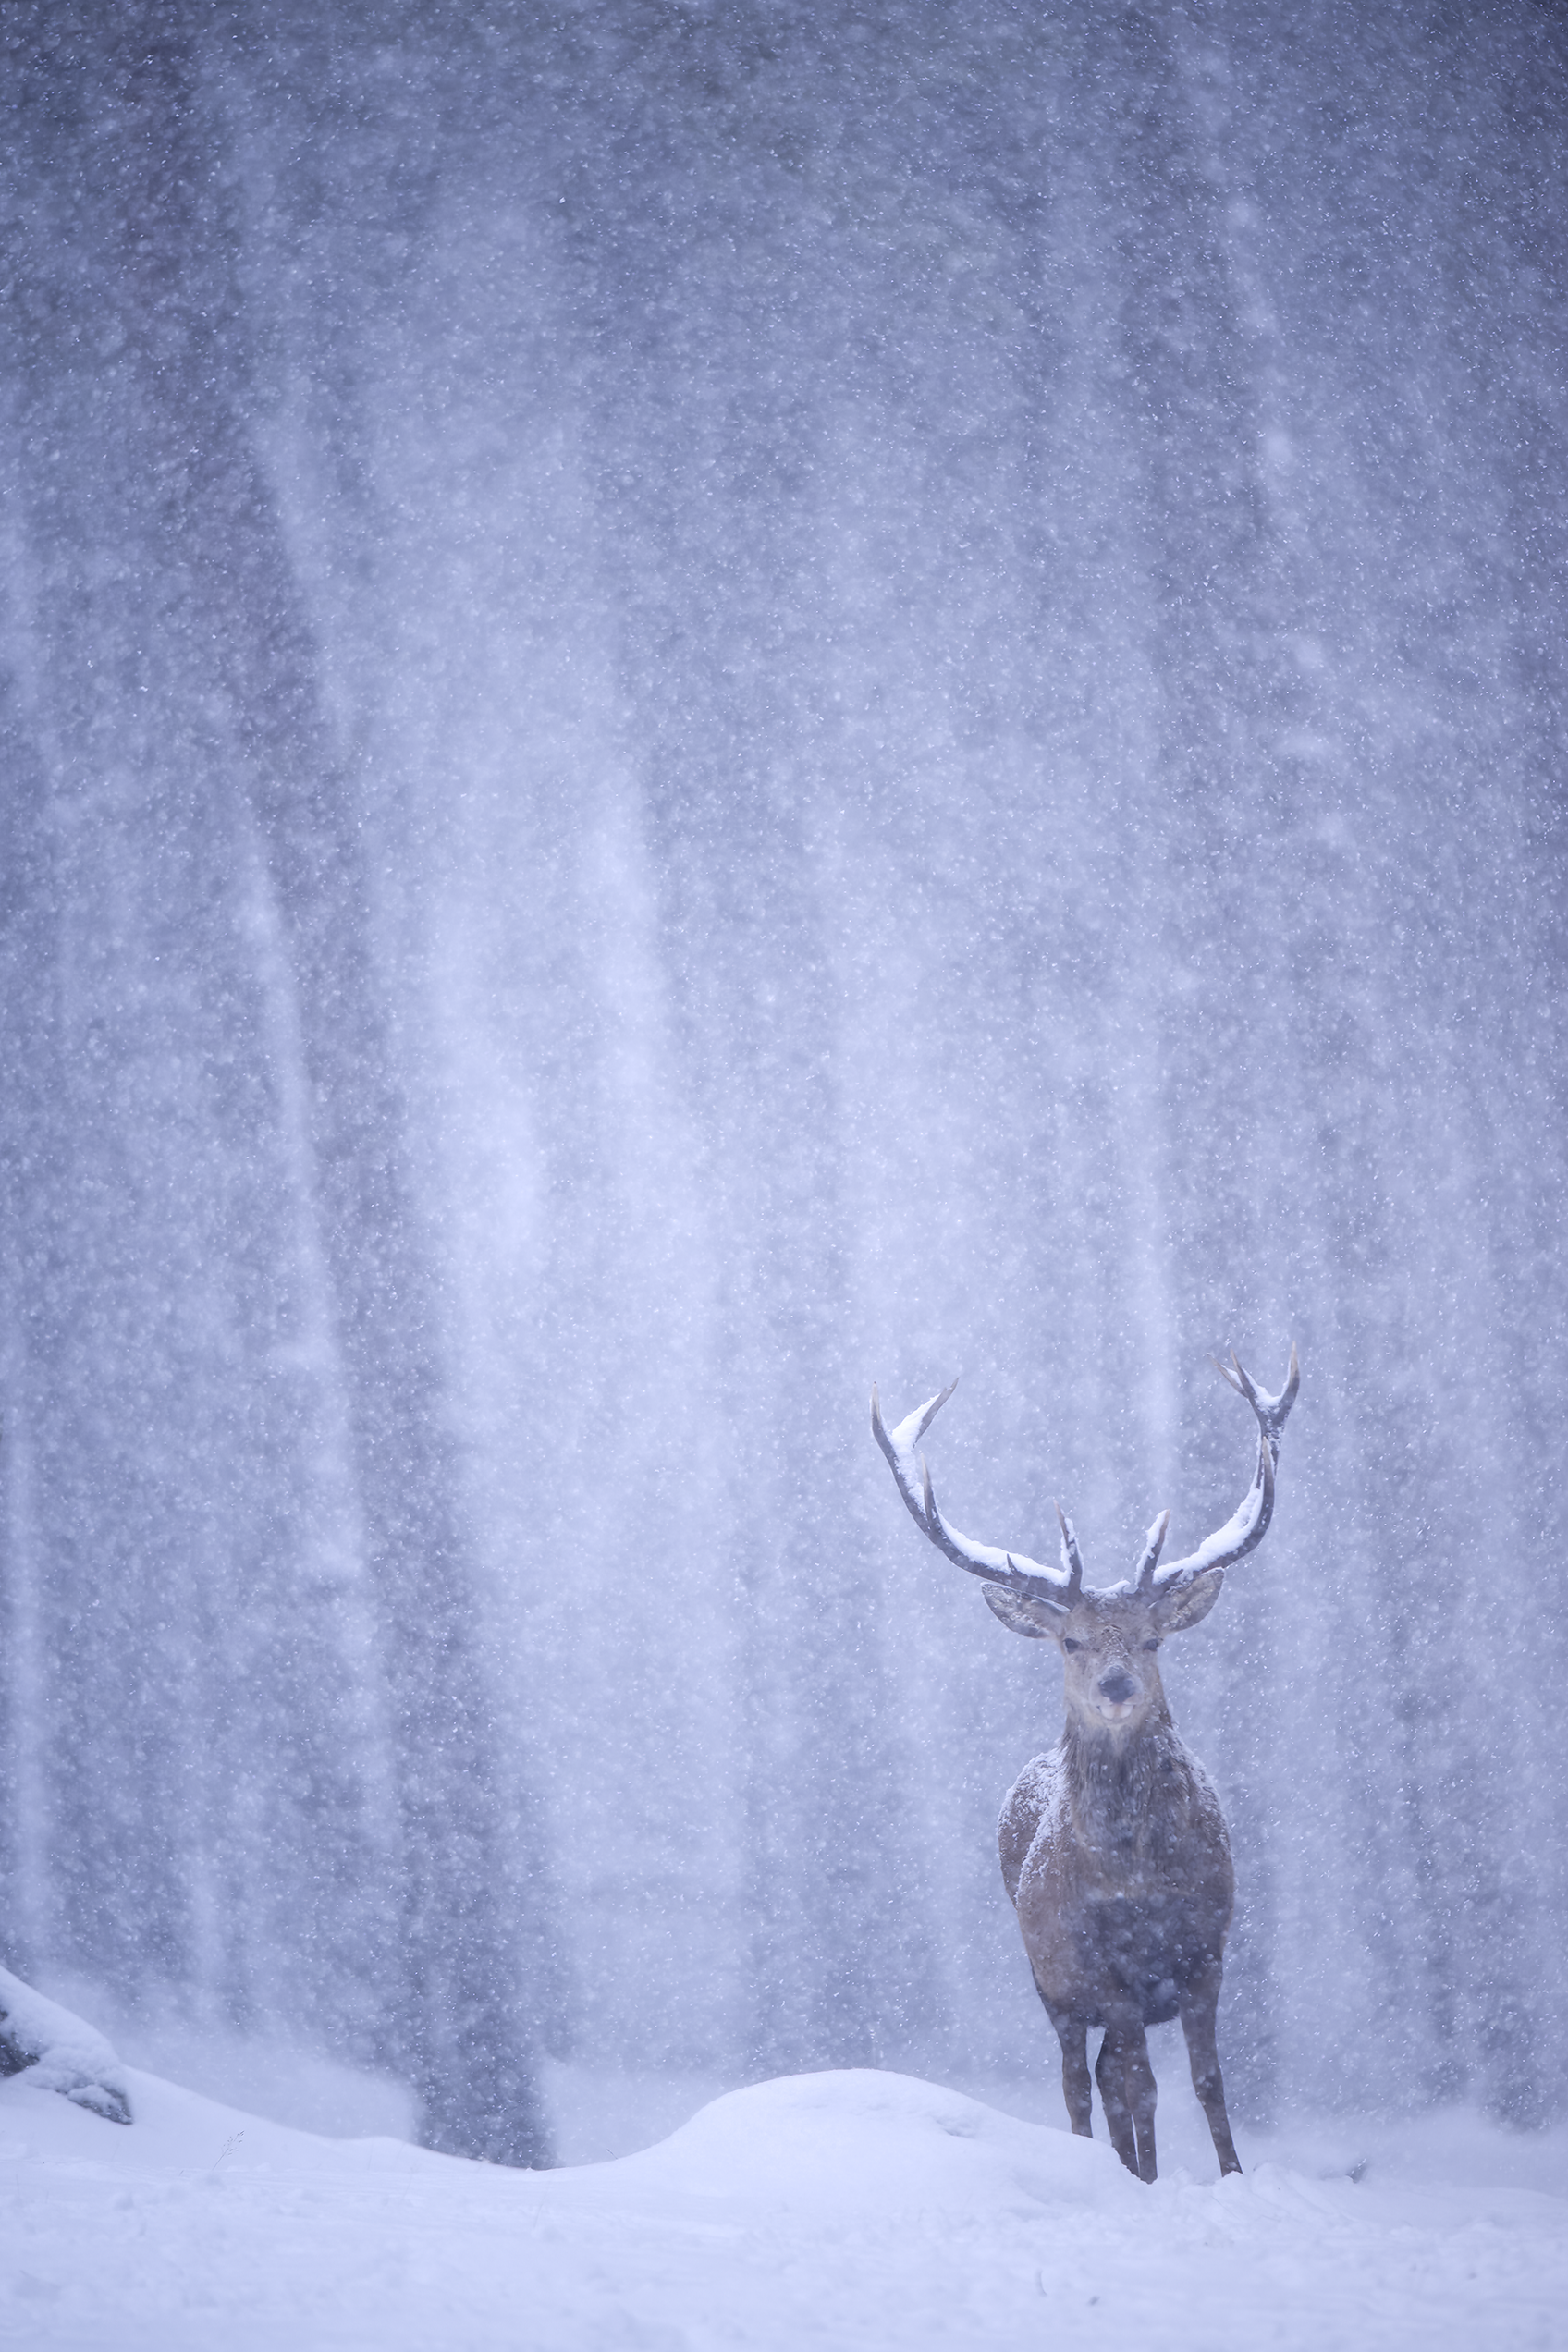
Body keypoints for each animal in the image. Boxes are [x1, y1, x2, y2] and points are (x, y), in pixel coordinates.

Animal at [872, 1346, 1298, 2184]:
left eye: (1152, 1638)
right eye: (1070, 1641)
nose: (1117, 1685)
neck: (1140, 1884)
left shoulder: (1209, 1946)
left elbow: (1208, 2079)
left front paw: (1233, 2176)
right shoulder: (1104, 1966)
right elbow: (1142, 2086)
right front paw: (1149, 2181)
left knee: (1105, 2075)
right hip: (1051, 1982)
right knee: (1081, 2080)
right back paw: (1105, 2162)